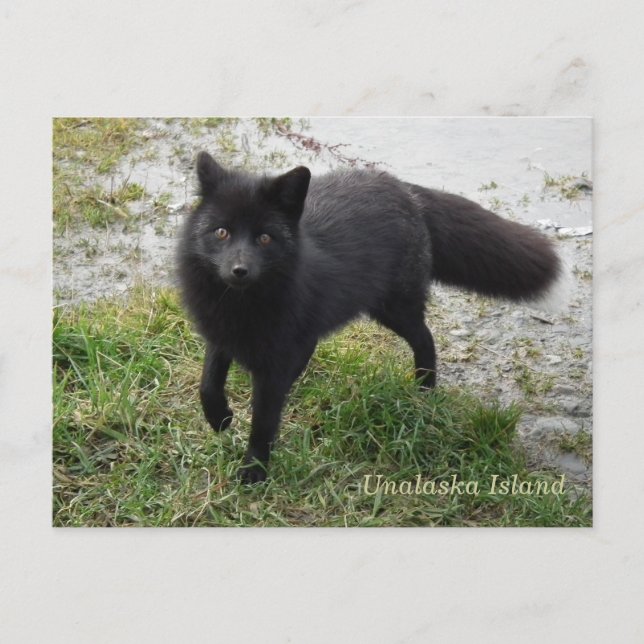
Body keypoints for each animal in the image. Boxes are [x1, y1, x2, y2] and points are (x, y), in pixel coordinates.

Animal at [177, 152, 561, 483]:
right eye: (222, 232)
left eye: (265, 238)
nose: (239, 271)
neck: (240, 304)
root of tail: (406, 189)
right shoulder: (220, 335)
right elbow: (208, 383)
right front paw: (220, 419)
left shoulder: (273, 364)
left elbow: (263, 422)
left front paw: (254, 472)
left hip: (395, 308)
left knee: (425, 338)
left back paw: (424, 389)